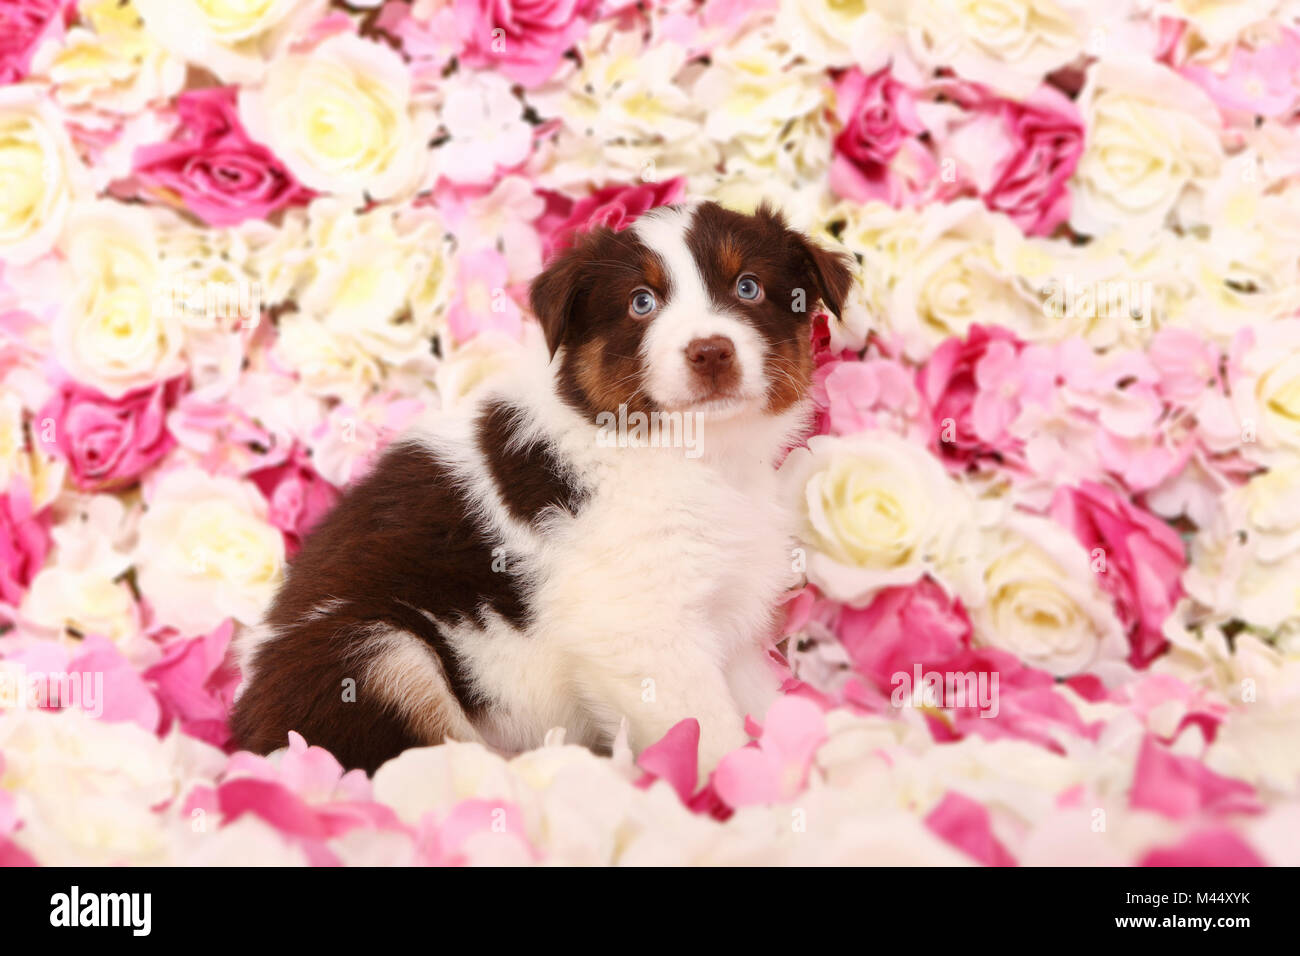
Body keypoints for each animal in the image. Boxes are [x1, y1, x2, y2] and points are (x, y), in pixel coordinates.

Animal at [230, 197, 857, 775]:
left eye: (748, 288)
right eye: (642, 302)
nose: (711, 351)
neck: (700, 454)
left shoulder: (730, 610)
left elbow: (762, 703)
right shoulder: (641, 629)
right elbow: (708, 731)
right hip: (371, 655)